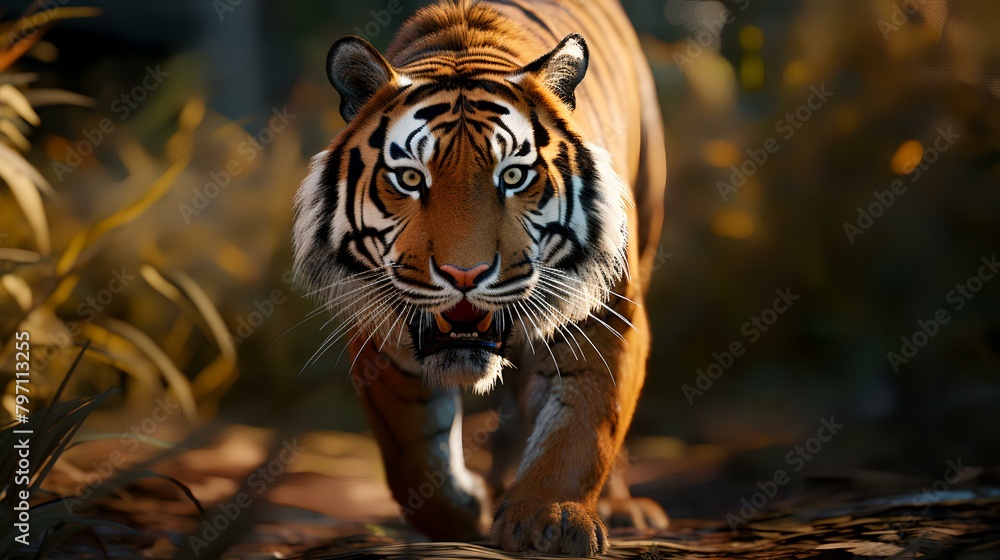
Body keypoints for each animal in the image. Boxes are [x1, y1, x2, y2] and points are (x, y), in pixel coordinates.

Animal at [292, 0, 667, 555]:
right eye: (410, 178)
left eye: (513, 176)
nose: (463, 274)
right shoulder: (381, 334)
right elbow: (411, 457)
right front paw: (465, 513)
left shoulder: (603, 311)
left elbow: (584, 423)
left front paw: (550, 518)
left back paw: (621, 508)